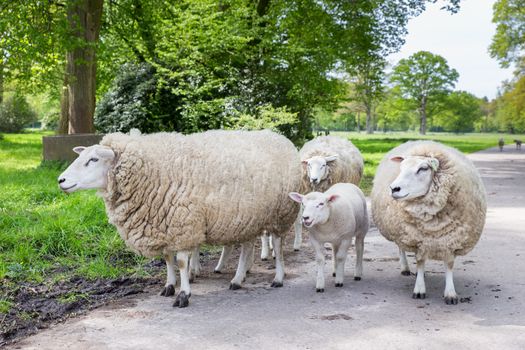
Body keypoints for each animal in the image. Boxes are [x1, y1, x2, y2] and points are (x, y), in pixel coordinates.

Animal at [56, 130, 298, 308]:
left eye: (93, 159)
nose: (60, 180)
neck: (151, 172)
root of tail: (279, 136)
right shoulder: (163, 224)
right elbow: (167, 259)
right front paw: (169, 286)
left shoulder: (183, 224)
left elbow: (181, 261)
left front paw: (184, 294)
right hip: (248, 217)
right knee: (247, 246)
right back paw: (238, 279)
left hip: (281, 213)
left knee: (277, 245)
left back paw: (277, 278)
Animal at [368, 141, 488, 304]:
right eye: (401, 167)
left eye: (423, 168)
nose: (394, 189)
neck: (433, 224)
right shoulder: (418, 239)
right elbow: (420, 262)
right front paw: (419, 289)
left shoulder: (451, 240)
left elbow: (449, 265)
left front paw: (450, 293)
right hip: (401, 229)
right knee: (401, 247)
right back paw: (405, 268)